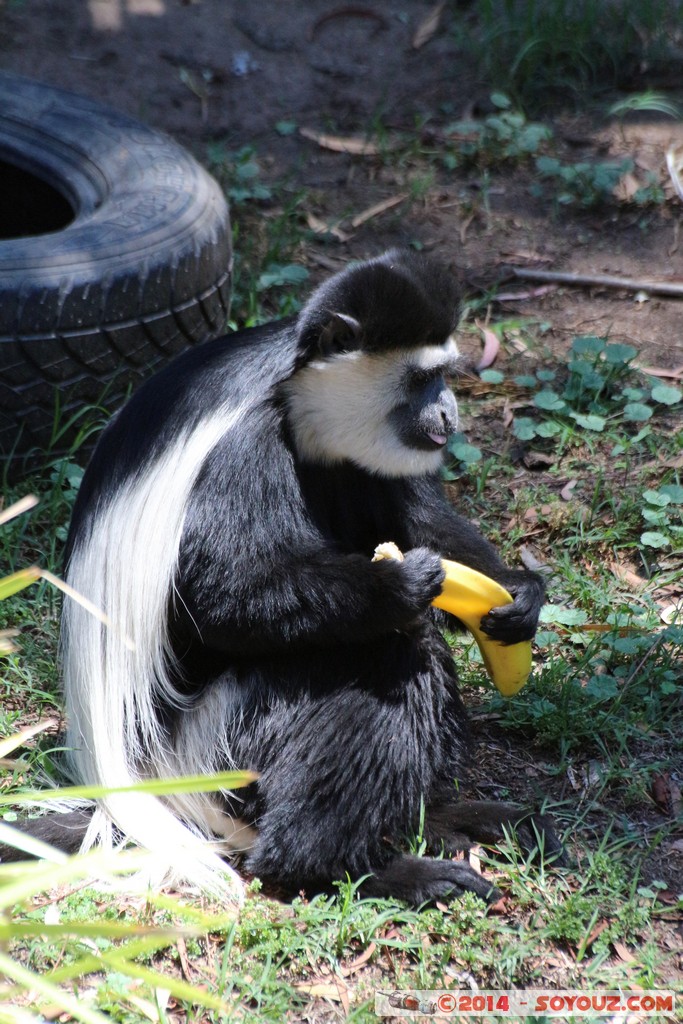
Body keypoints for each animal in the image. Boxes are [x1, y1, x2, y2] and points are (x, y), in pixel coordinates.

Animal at [48, 249, 557, 905]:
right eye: (422, 380)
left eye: (444, 376)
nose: (450, 413)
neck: (299, 404)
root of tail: (141, 785)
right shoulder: (243, 449)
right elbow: (224, 598)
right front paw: (397, 588)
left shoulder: (370, 455)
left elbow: (419, 519)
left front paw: (520, 593)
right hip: (221, 742)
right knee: (387, 653)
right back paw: (352, 866)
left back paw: (449, 818)